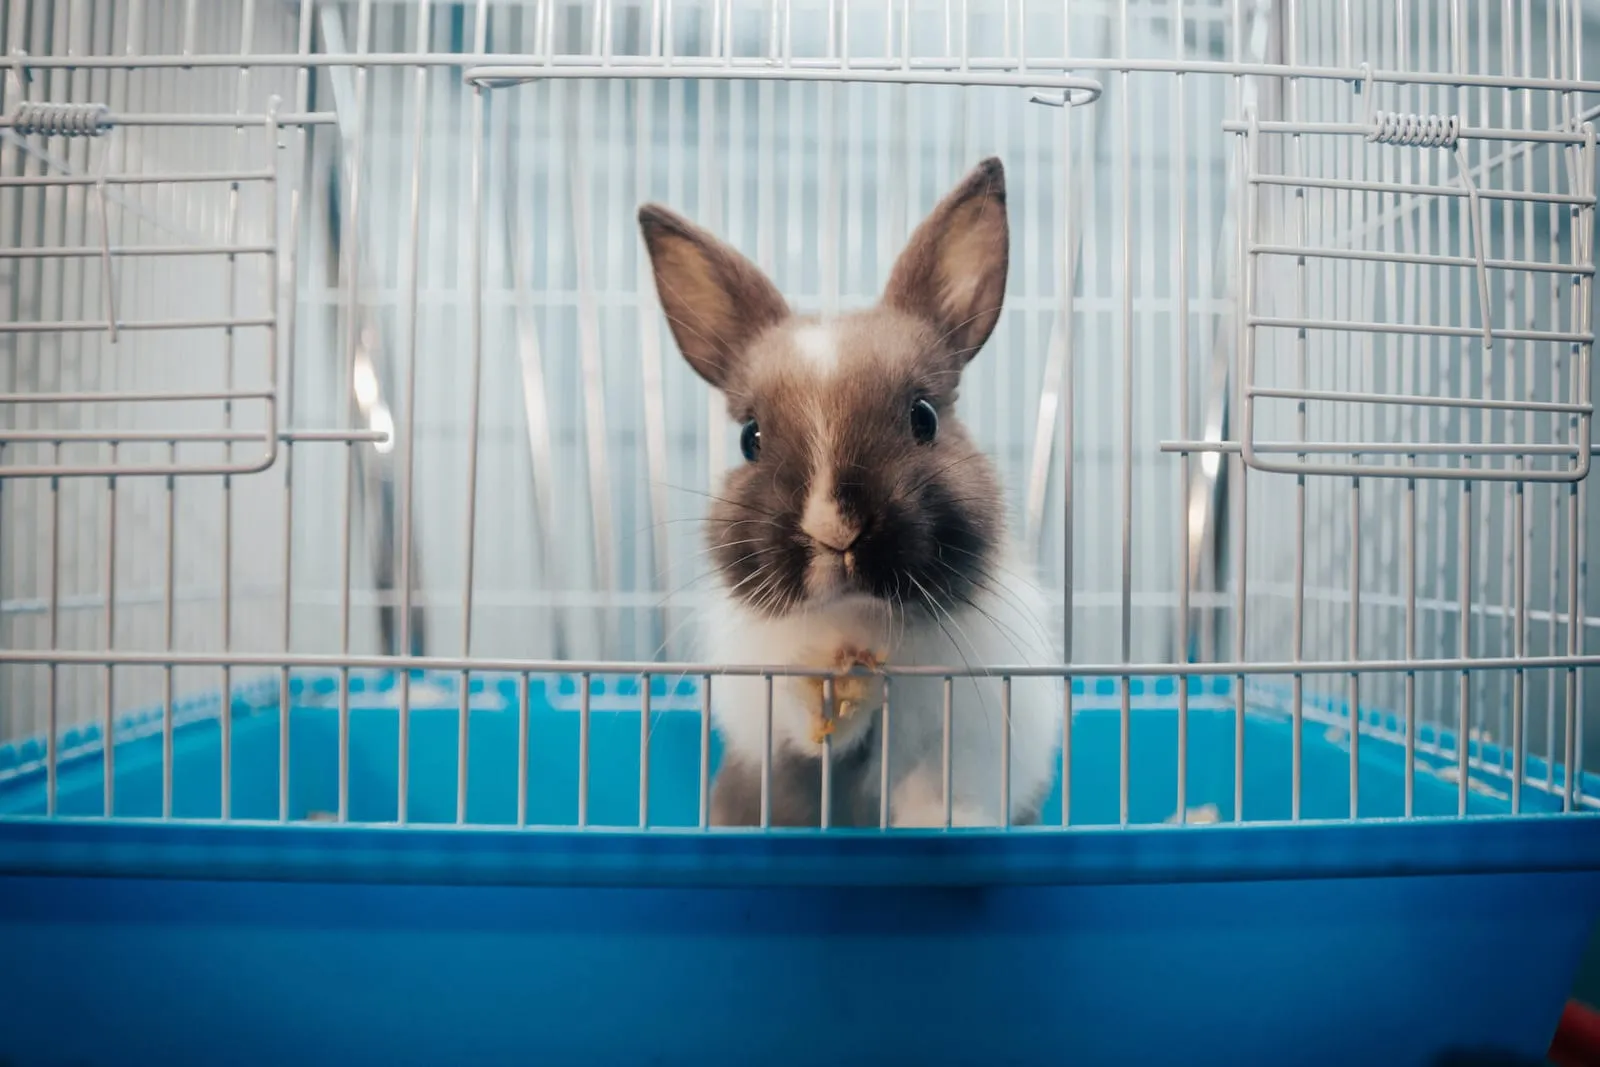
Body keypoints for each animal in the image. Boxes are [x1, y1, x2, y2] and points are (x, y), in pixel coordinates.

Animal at [638, 157, 1061, 829]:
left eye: (923, 417)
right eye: (750, 437)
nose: (834, 530)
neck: (860, 623)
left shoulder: (957, 746)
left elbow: (934, 794)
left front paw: (941, 826)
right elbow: (806, 731)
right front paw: (831, 694)